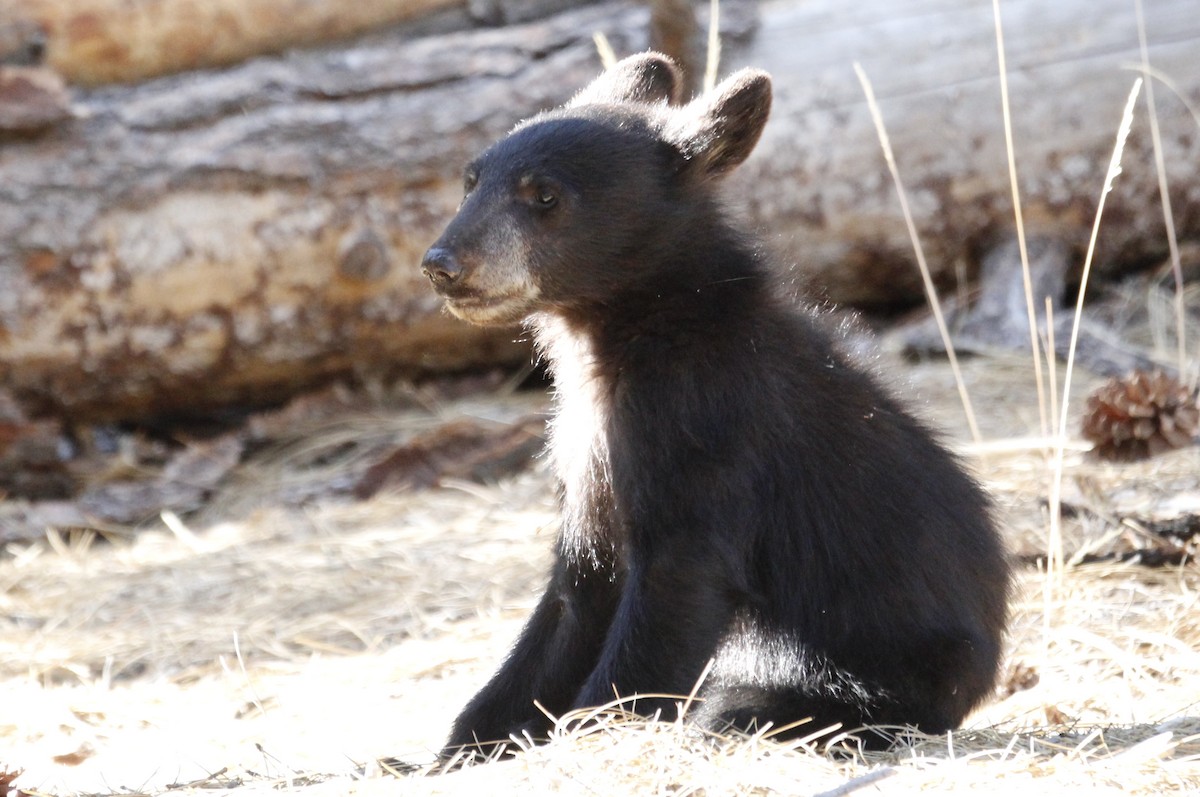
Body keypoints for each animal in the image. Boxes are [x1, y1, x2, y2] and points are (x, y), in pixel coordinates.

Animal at [419, 52, 1011, 758]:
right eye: (471, 181)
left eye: (545, 195)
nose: (442, 264)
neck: (626, 336)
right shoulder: (586, 452)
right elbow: (570, 600)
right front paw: (451, 753)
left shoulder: (705, 427)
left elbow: (675, 588)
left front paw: (596, 731)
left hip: (863, 668)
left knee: (753, 699)